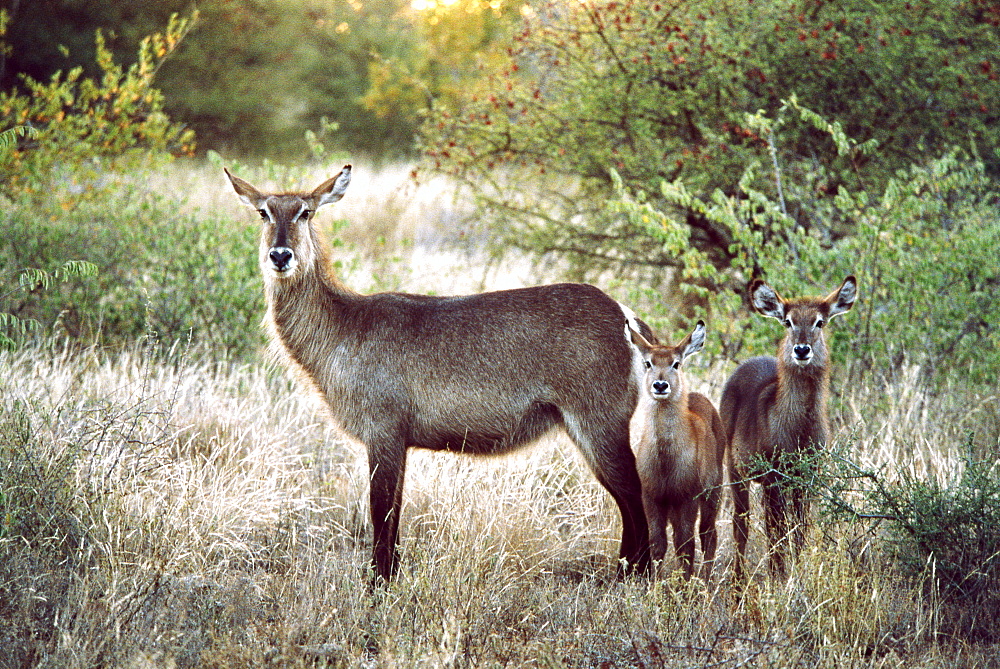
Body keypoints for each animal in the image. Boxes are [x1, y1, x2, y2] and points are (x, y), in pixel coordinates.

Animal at [223, 164, 652, 580]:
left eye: (305, 212)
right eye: (263, 212)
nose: (280, 256)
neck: (346, 324)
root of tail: (627, 316)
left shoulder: (383, 431)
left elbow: (380, 512)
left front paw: (377, 585)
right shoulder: (399, 442)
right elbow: (394, 513)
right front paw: (392, 577)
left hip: (599, 420)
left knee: (634, 490)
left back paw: (639, 575)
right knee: (625, 496)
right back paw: (624, 570)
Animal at [628, 320, 724, 580]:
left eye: (676, 363)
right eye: (648, 362)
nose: (661, 385)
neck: (666, 459)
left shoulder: (687, 497)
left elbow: (685, 543)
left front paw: (684, 584)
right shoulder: (651, 497)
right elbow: (658, 542)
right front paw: (655, 584)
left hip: (713, 493)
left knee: (708, 534)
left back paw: (707, 579)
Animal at [720, 274, 860, 576]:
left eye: (820, 321)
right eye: (788, 321)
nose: (802, 349)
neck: (799, 431)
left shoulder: (807, 476)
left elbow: (800, 529)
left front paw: (798, 567)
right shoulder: (773, 477)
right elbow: (777, 531)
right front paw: (779, 575)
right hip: (735, 469)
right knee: (741, 524)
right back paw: (739, 578)